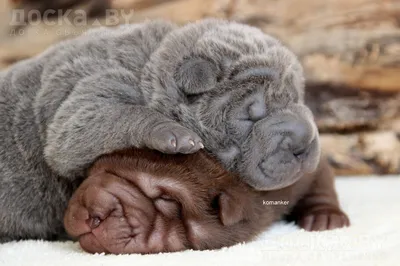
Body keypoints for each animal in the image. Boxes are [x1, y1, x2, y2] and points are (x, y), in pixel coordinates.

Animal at [0, 19, 318, 241]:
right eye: (252, 116)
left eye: (297, 97)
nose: (304, 143)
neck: (147, 69)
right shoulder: (93, 90)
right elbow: (103, 120)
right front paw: (175, 135)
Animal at [64, 149, 348, 255]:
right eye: (96, 172)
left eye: (166, 198)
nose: (92, 208)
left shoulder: (308, 169)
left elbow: (320, 181)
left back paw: (325, 217)